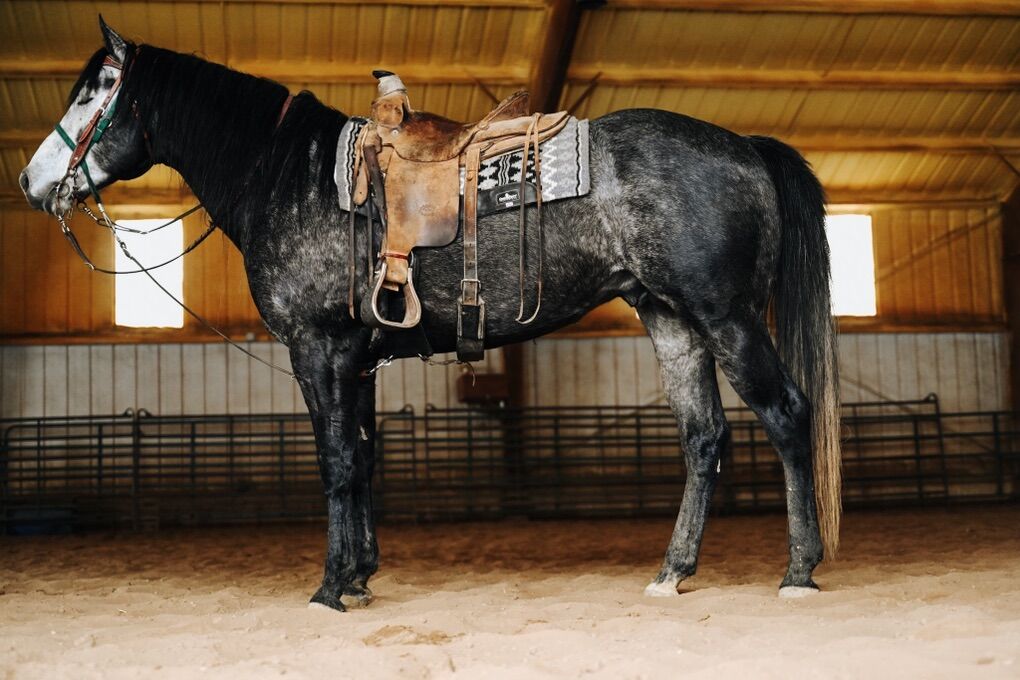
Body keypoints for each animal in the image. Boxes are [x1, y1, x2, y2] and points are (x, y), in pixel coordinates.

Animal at [19, 18, 841, 611]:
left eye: (94, 92)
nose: (30, 182)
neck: (287, 176)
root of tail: (744, 145)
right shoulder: (358, 360)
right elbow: (362, 459)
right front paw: (359, 575)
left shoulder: (317, 349)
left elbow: (335, 459)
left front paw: (330, 589)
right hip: (670, 319)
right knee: (703, 439)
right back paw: (673, 571)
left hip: (728, 317)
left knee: (787, 413)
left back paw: (799, 570)